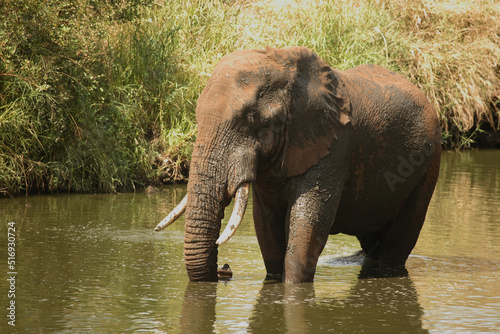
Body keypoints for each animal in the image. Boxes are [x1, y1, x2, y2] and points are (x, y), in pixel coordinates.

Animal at [156, 45, 442, 284]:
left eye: (250, 119)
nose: (224, 270)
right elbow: (266, 227)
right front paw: (273, 280)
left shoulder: (334, 147)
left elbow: (310, 222)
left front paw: (292, 288)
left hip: (428, 164)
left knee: (398, 241)